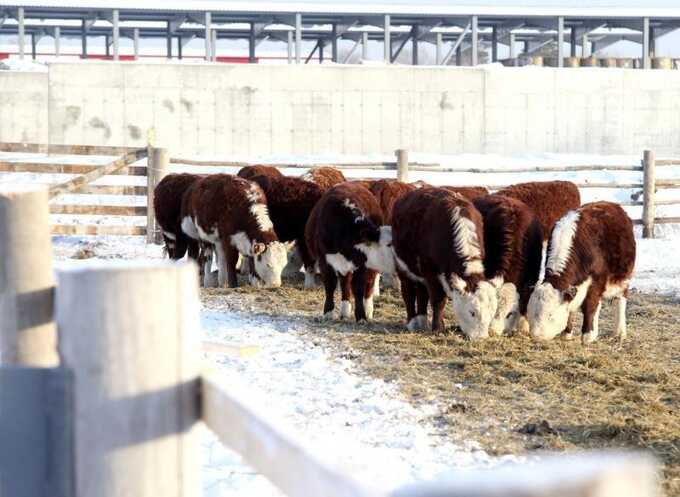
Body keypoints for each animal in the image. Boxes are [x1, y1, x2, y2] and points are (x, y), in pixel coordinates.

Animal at [306, 182, 396, 322]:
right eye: (388, 244)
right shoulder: (324, 260)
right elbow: (330, 285)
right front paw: (328, 312)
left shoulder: (362, 263)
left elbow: (358, 288)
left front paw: (361, 316)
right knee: (345, 284)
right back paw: (345, 311)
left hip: (370, 266)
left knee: (368, 285)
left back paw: (368, 310)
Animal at [390, 188, 496, 340]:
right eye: (472, 312)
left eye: (492, 312)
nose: (481, 337)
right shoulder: (430, 270)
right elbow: (438, 300)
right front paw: (438, 329)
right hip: (402, 265)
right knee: (408, 292)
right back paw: (412, 322)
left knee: (422, 293)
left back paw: (422, 321)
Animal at [524, 200, 636, 342]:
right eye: (532, 312)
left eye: (550, 315)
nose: (537, 336)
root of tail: (611, 204)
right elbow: (571, 308)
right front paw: (567, 333)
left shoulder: (597, 281)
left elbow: (590, 306)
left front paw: (588, 336)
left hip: (623, 278)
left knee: (620, 299)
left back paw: (619, 332)